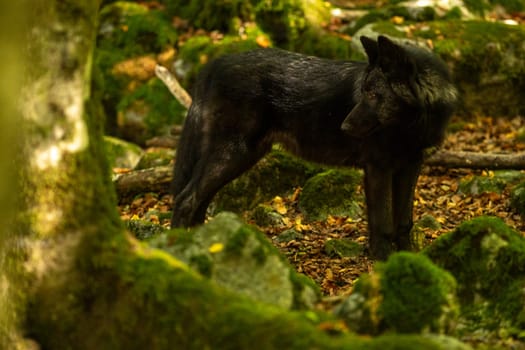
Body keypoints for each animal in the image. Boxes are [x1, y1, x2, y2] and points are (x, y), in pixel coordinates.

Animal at [170, 36, 456, 260]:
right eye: (364, 93)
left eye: (375, 95)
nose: (344, 126)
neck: (414, 126)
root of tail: (216, 63)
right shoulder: (378, 169)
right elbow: (382, 223)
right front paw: (383, 262)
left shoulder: (411, 166)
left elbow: (403, 221)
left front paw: (409, 258)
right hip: (233, 155)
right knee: (185, 199)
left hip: (240, 158)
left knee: (198, 202)